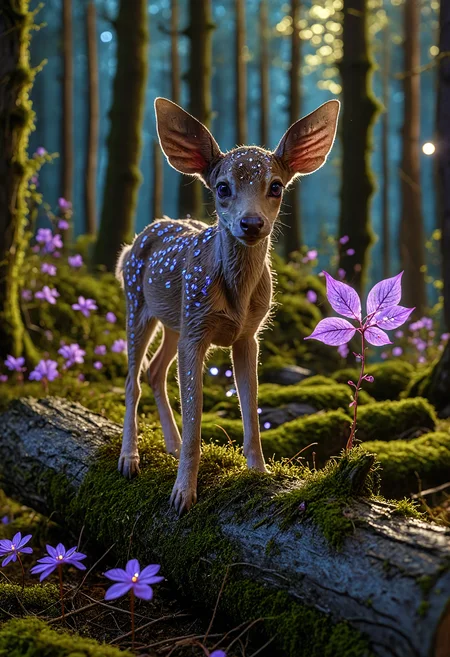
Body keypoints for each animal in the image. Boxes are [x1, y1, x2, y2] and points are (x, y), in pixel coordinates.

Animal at [116, 97, 340, 514]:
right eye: (223, 187)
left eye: (276, 186)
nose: (251, 223)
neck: (236, 295)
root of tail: (135, 243)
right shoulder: (198, 331)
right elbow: (196, 413)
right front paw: (183, 494)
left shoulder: (247, 335)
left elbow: (250, 407)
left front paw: (260, 472)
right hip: (138, 303)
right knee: (132, 379)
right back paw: (130, 459)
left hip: (177, 321)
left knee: (155, 371)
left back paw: (169, 446)